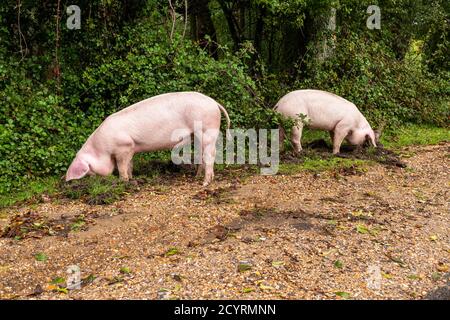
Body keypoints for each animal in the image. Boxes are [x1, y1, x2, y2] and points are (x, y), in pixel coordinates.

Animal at [65, 91, 230, 186]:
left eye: (88, 170)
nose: (93, 181)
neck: (101, 149)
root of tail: (214, 102)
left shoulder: (123, 147)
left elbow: (122, 166)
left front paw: (123, 182)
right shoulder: (131, 147)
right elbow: (130, 165)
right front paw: (131, 179)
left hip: (207, 129)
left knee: (210, 154)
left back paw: (205, 183)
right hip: (196, 134)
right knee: (201, 155)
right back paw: (196, 177)